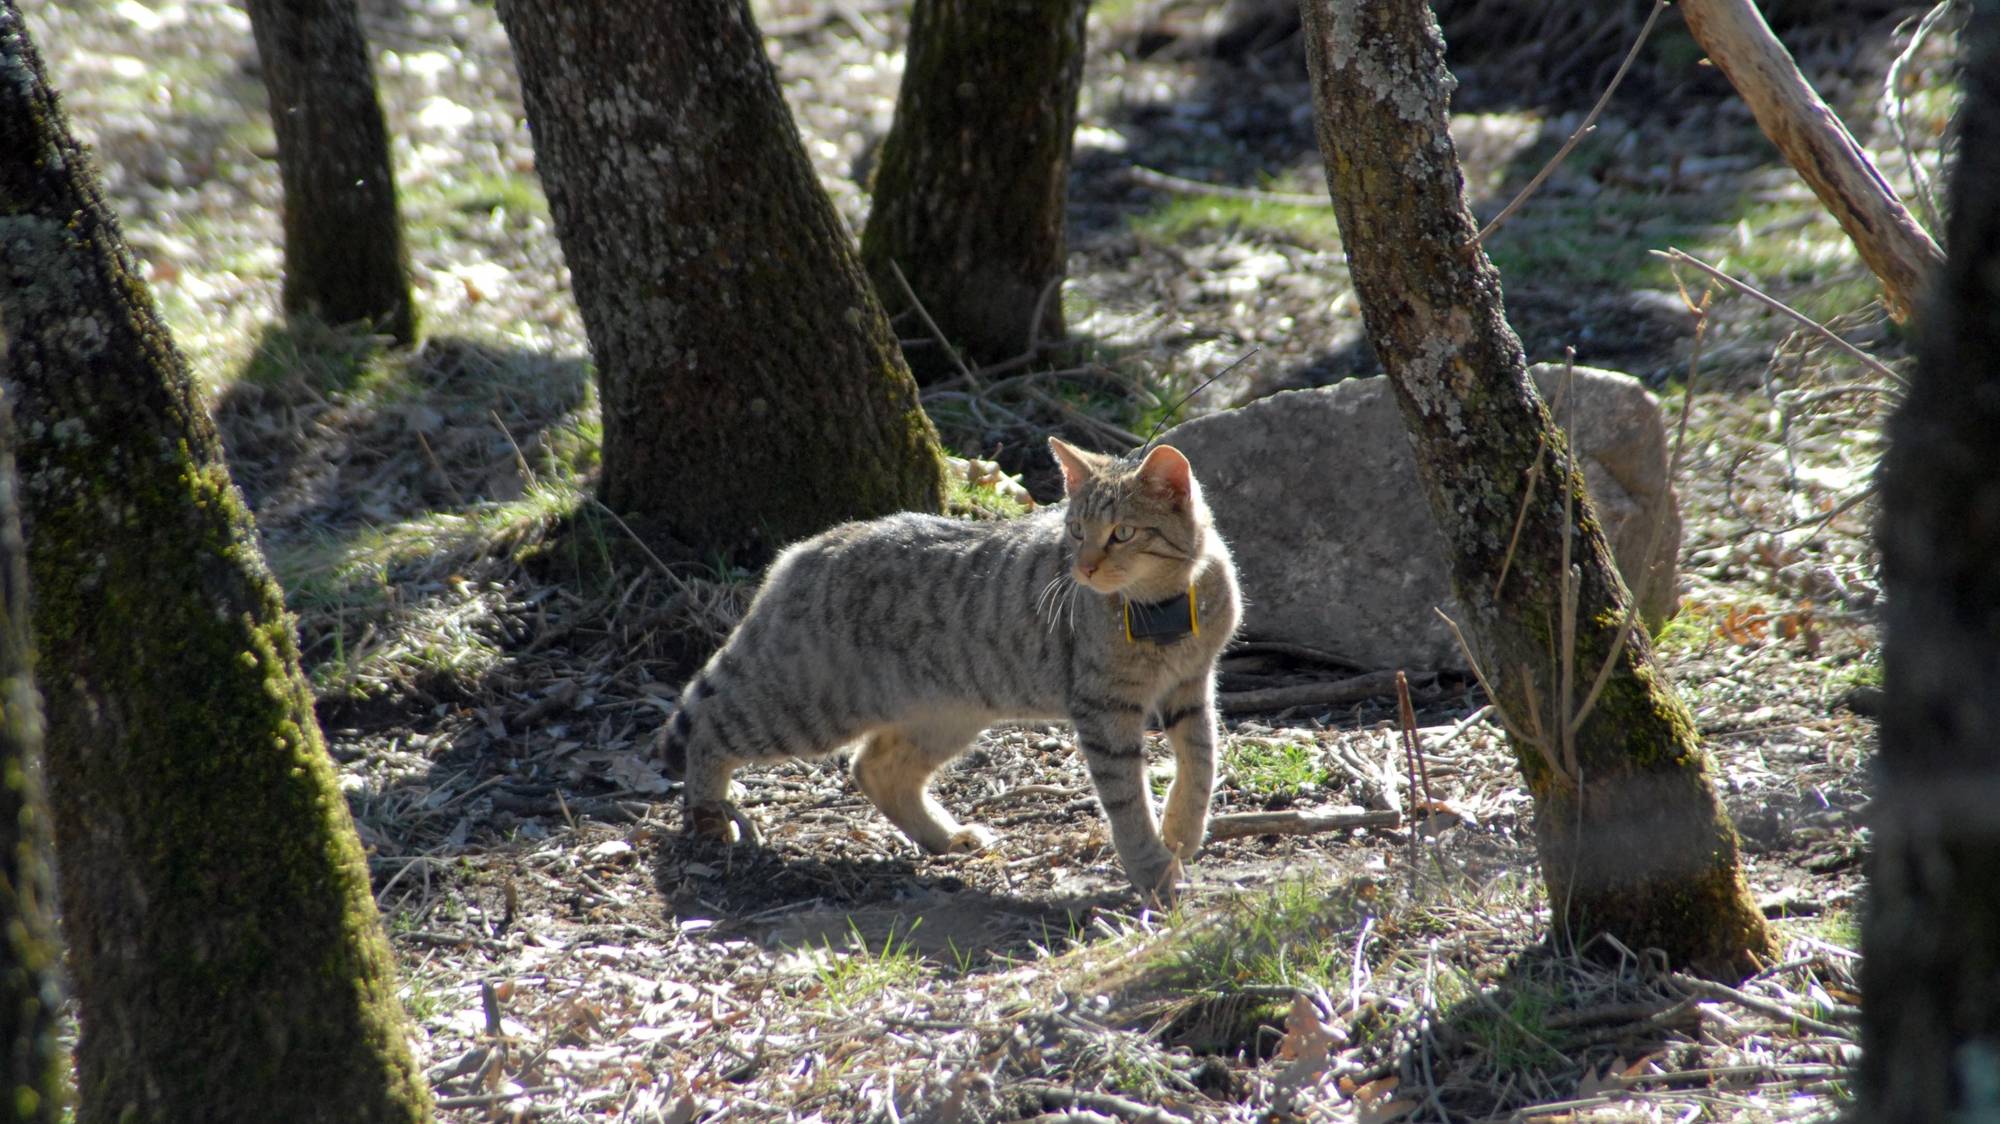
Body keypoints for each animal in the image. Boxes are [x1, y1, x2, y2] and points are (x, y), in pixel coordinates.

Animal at [664, 434, 1240, 896]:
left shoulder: (1192, 686)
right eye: (1076, 530)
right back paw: (709, 815)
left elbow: (1202, 763)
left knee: (874, 768)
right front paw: (1152, 867)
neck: (1166, 610)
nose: (1084, 568)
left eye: (1122, 533)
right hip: (804, 707)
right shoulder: (1105, 709)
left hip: (945, 716)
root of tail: (800, 551)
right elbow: (1126, 798)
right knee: (710, 727)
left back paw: (943, 837)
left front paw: (1183, 831)